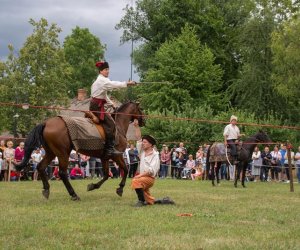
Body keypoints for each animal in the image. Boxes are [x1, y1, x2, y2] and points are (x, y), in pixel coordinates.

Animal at [16, 100, 145, 200]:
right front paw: (120, 188)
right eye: (140, 109)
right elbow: (126, 169)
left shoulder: (104, 157)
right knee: (62, 173)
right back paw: (73, 194)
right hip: (63, 153)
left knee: (41, 167)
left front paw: (93, 186)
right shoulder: (116, 155)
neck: (118, 126)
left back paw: (46, 190)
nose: (143, 121)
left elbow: (106, 175)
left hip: (51, 152)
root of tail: (46, 123)